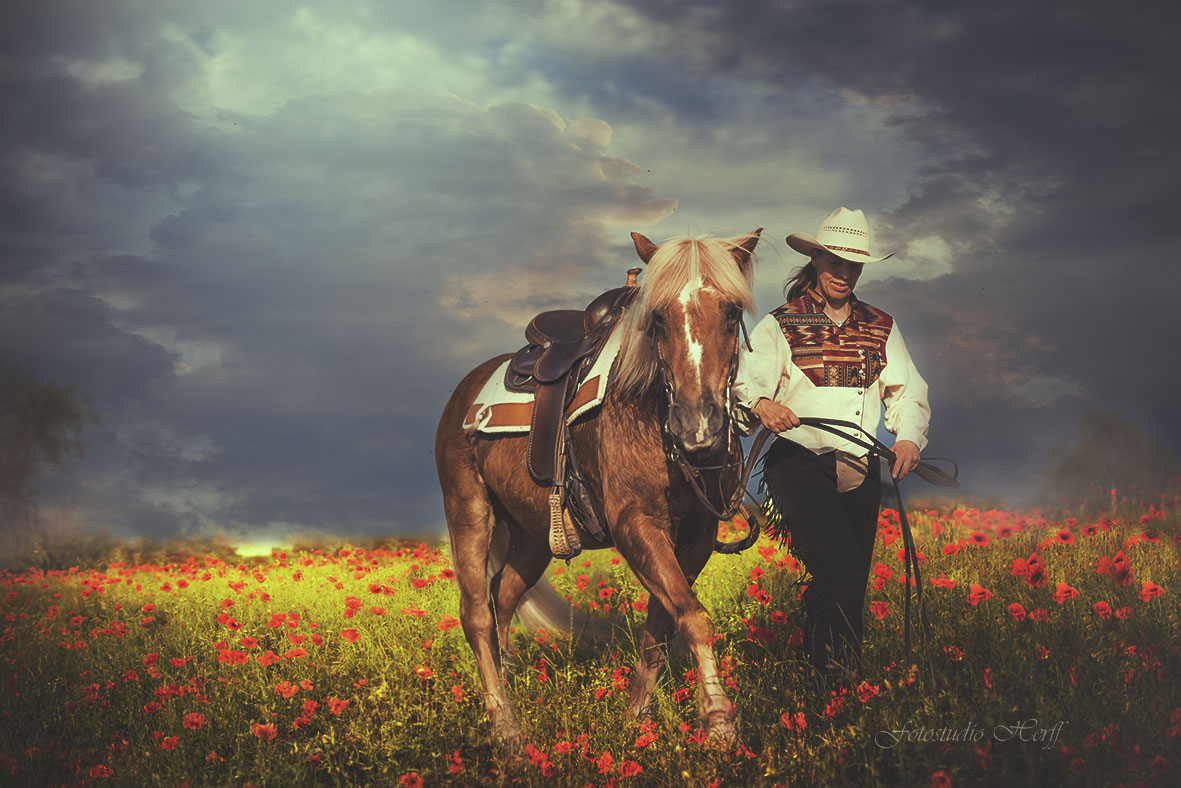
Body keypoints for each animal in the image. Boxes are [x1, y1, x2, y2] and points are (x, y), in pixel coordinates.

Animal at [439, 228, 760, 746]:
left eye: (731, 311)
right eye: (657, 318)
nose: (698, 426)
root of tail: (464, 393)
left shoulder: (696, 537)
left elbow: (662, 623)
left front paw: (636, 719)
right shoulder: (635, 525)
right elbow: (693, 617)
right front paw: (718, 721)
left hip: (533, 536)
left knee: (504, 596)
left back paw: (509, 688)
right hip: (468, 511)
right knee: (476, 614)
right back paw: (506, 726)